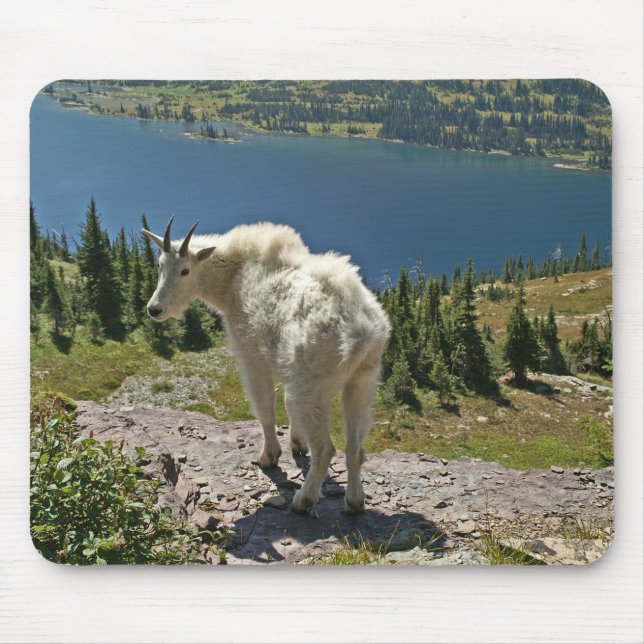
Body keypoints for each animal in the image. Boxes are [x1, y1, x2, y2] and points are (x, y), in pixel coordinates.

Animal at [143, 217, 390, 514]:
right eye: (159, 265)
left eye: (185, 271)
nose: (154, 309)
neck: (232, 277)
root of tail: (362, 331)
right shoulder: (284, 363)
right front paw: (297, 444)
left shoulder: (253, 358)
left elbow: (265, 408)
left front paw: (269, 456)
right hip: (363, 380)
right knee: (355, 447)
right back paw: (354, 502)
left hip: (310, 388)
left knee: (325, 450)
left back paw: (303, 500)